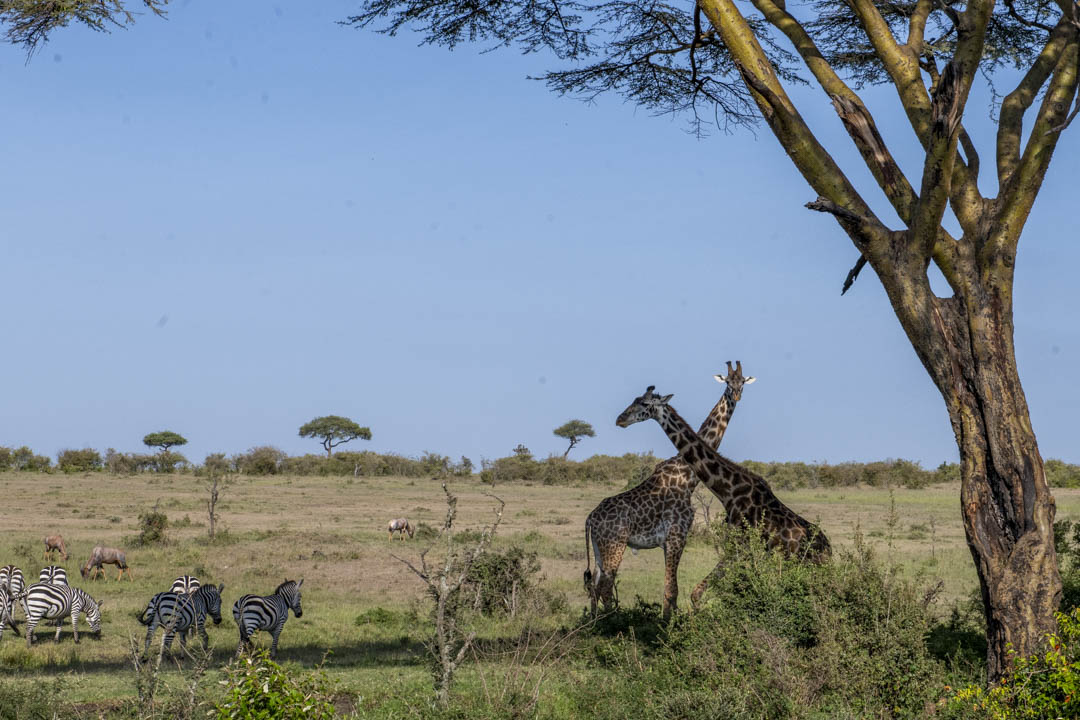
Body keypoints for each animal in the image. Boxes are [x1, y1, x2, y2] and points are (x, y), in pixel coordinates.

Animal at [584, 361, 754, 620]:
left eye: (742, 381)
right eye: (727, 382)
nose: (621, 419)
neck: (687, 475)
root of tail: (590, 519)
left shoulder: (668, 541)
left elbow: (669, 591)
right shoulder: (677, 534)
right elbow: (672, 590)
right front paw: (666, 625)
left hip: (598, 549)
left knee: (594, 586)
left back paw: (594, 623)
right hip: (614, 545)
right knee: (605, 586)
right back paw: (611, 622)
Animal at [615, 385, 831, 606]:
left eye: (644, 404)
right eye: (635, 399)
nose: (620, 419)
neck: (728, 491)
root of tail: (828, 549)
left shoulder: (740, 547)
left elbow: (699, 593)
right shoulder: (738, 548)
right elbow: (708, 591)